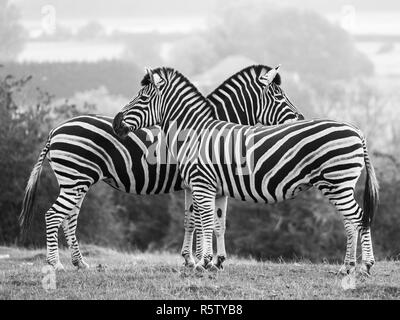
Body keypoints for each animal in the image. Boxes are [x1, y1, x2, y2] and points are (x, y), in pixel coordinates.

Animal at [18, 63, 300, 268]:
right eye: (279, 96)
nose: (301, 118)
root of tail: (55, 129)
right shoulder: (201, 181)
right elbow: (200, 220)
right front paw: (201, 259)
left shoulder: (196, 184)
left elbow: (193, 219)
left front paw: (192, 259)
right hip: (75, 179)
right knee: (55, 215)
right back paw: (55, 264)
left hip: (77, 181)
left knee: (69, 217)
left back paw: (79, 263)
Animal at [112, 67, 378, 276]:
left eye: (142, 98)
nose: (116, 123)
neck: (194, 131)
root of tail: (358, 131)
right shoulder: (215, 188)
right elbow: (215, 223)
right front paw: (212, 262)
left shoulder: (201, 183)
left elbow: (203, 221)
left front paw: (201, 262)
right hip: (338, 184)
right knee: (354, 219)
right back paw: (352, 266)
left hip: (337, 181)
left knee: (356, 217)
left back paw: (359, 266)